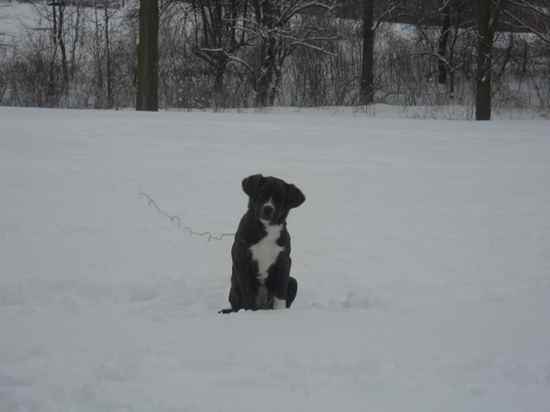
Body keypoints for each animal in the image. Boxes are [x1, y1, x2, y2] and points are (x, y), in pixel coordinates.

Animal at [220, 174, 306, 312]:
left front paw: (280, 312)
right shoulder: (242, 260)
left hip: (293, 282)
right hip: (235, 288)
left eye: (280, 199)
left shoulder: (284, 261)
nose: (268, 209)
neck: (266, 230)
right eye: (261, 194)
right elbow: (248, 292)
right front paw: (249, 311)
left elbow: (280, 291)